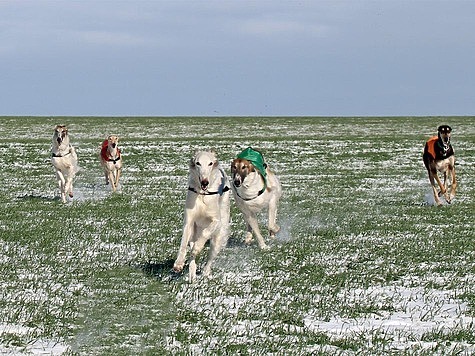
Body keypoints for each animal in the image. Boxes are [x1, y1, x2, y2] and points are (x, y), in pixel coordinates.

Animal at [174, 149, 231, 280]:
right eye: (198, 163)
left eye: (210, 163)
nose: (205, 182)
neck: (202, 193)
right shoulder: (189, 221)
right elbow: (183, 243)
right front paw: (179, 263)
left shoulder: (216, 220)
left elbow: (205, 234)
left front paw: (197, 248)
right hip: (194, 233)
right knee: (191, 252)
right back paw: (192, 273)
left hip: (218, 235)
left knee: (210, 257)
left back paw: (205, 272)